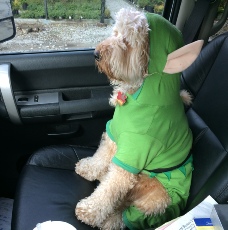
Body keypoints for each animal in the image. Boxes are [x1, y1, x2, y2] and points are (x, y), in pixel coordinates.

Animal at [74, 8, 203, 229]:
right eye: (116, 32)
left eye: (127, 41)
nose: (96, 53)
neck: (136, 94)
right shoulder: (115, 133)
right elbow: (101, 155)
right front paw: (89, 168)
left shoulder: (133, 153)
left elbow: (110, 188)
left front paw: (89, 211)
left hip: (154, 201)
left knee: (126, 215)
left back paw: (110, 220)